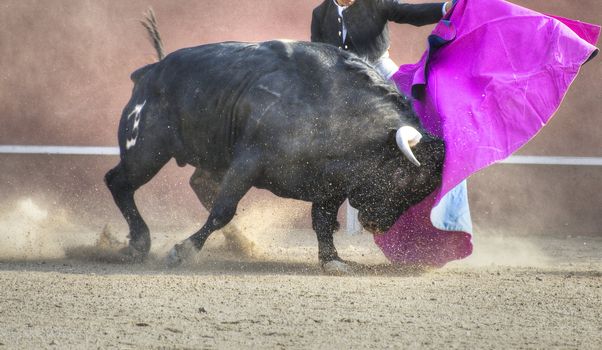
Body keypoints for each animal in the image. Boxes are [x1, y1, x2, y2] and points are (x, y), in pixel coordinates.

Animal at [104, 38, 440, 270]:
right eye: (401, 173)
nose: (376, 225)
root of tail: (150, 71)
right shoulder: (249, 162)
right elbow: (224, 210)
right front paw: (183, 250)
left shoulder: (330, 184)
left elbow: (322, 221)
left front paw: (332, 260)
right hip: (146, 152)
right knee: (118, 182)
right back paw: (138, 244)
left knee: (199, 184)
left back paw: (239, 243)